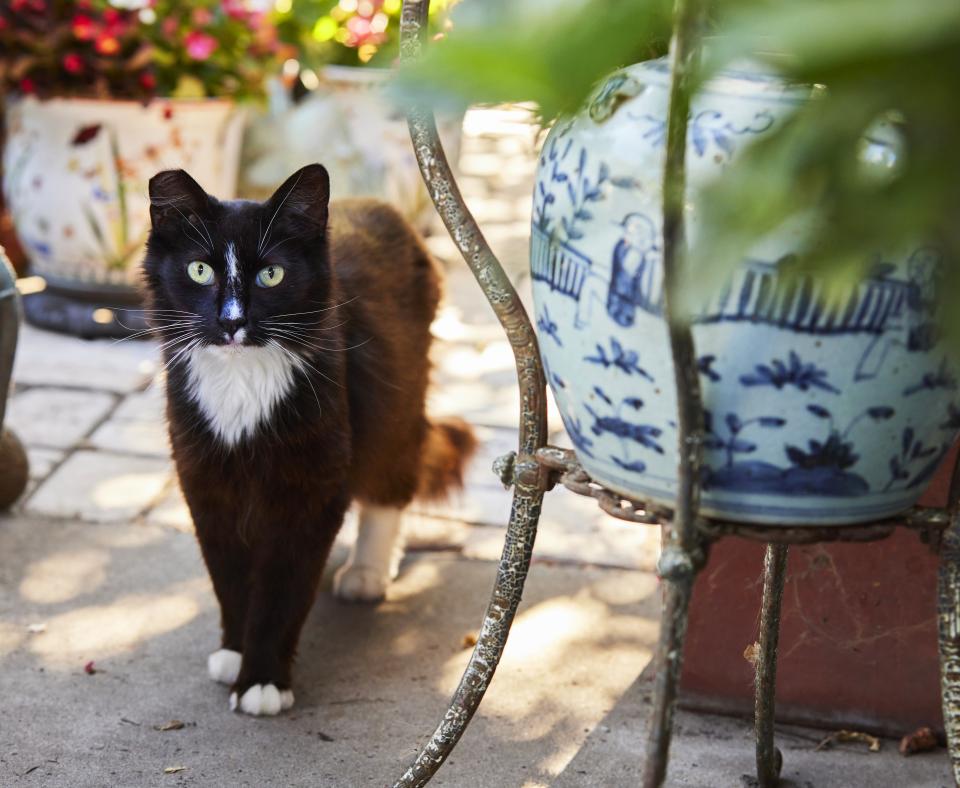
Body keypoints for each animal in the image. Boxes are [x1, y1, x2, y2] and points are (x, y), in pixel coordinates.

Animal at [142, 169, 472, 716]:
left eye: (270, 276)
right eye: (199, 270)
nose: (232, 321)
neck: (242, 384)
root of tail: (385, 207)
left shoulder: (310, 491)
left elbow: (281, 591)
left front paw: (262, 680)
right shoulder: (207, 487)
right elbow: (229, 579)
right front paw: (234, 652)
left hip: (395, 408)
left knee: (390, 489)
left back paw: (368, 571)